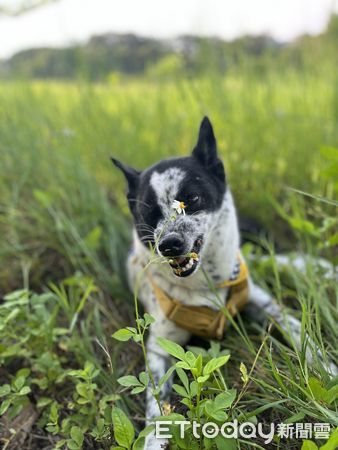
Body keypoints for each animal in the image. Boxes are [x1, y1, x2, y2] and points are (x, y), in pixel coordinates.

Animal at [112, 117, 336, 450]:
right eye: (148, 212)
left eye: (192, 198)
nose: (169, 245)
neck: (207, 285)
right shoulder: (159, 346)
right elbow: (156, 396)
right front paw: (153, 437)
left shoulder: (261, 302)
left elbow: (299, 332)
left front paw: (328, 369)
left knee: (284, 260)